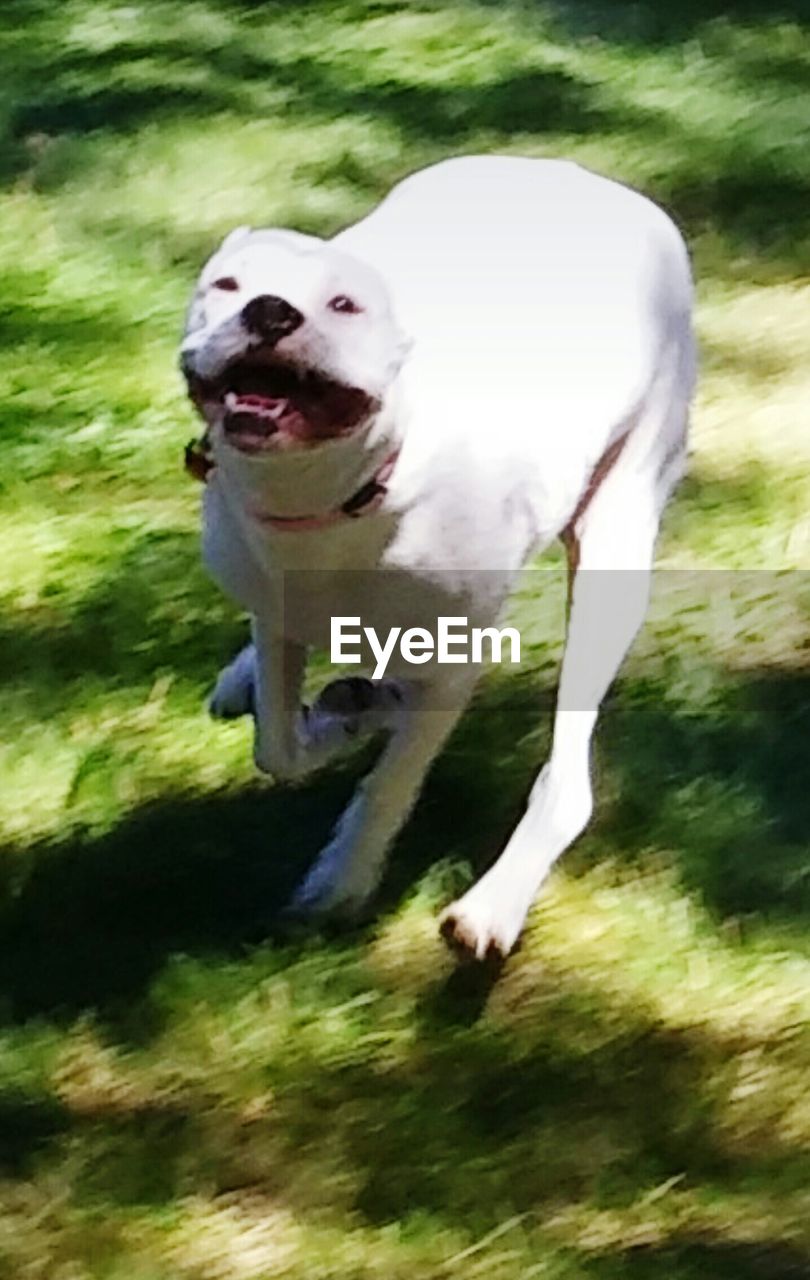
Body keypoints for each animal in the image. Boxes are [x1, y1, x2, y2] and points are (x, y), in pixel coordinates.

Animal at [181, 154, 696, 962]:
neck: (343, 497)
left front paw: (343, 876)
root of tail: (576, 174)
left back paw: (494, 905)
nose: (269, 311)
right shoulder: (277, 610)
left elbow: (393, 777)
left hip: (618, 544)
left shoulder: (452, 666)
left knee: (566, 779)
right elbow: (279, 742)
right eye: (227, 284)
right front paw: (341, 716)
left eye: (344, 305)